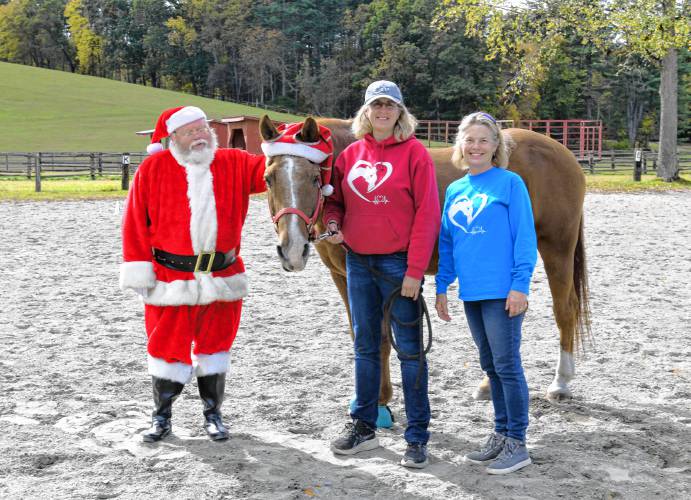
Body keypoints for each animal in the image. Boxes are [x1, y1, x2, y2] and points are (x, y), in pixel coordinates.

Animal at [256, 115, 592, 404]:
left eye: (315, 178)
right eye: (269, 179)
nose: (292, 249)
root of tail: (564, 153)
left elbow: (381, 338)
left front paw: (381, 401)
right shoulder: (345, 275)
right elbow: (359, 334)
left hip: (557, 249)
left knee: (565, 311)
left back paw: (560, 383)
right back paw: (488, 385)